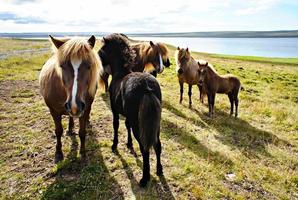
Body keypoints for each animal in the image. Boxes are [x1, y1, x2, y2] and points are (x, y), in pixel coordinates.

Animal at [39, 34, 102, 162]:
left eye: (89, 66)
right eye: (62, 66)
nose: (74, 105)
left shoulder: (84, 109)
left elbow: (82, 132)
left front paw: (83, 153)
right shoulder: (53, 111)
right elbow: (58, 131)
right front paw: (58, 153)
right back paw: (70, 127)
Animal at [98, 33, 163, 188]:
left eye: (102, 50)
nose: (103, 69)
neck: (120, 73)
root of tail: (146, 87)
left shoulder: (115, 111)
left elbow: (116, 125)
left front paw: (114, 145)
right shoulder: (128, 116)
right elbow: (126, 125)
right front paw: (128, 144)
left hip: (139, 126)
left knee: (145, 149)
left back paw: (144, 179)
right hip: (156, 124)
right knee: (158, 145)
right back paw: (159, 170)